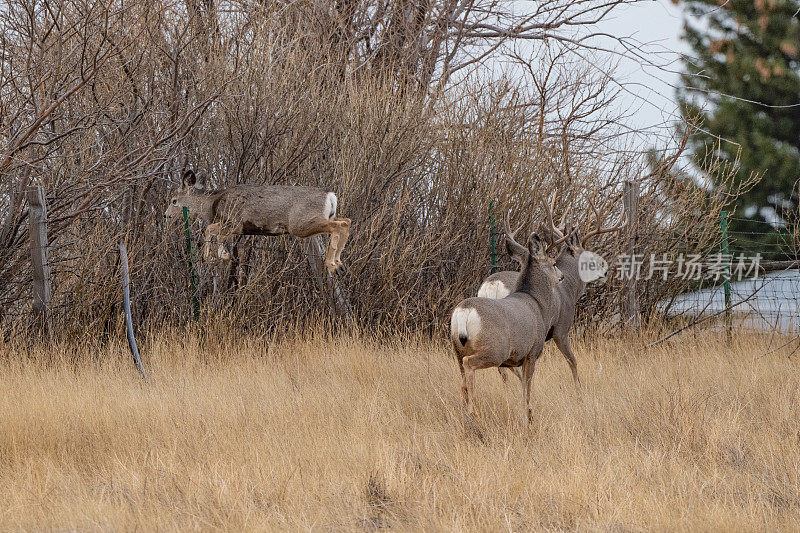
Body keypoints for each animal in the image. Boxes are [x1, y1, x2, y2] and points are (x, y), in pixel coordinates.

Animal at [164, 168, 352, 272]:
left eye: (174, 201)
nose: (166, 215)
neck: (213, 204)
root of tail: (330, 195)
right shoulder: (234, 227)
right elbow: (215, 233)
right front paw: (221, 255)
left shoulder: (234, 223)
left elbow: (209, 229)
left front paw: (215, 256)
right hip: (317, 219)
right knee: (346, 221)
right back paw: (339, 263)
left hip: (301, 223)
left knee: (340, 225)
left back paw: (332, 264)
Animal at [450, 229, 564, 424]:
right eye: (554, 262)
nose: (561, 276)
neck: (538, 304)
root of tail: (464, 311)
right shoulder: (531, 353)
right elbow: (526, 388)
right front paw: (527, 417)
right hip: (494, 350)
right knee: (469, 364)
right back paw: (474, 413)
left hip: (457, 349)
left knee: (462, 380)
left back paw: (465, 412)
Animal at [478, 195, 620, 386]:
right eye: (589, 257)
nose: (605, 271)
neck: (569, 290)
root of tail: (492, 285)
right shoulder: (561, 328)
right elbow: (572, 361)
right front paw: (578, 387)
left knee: (501, 367)